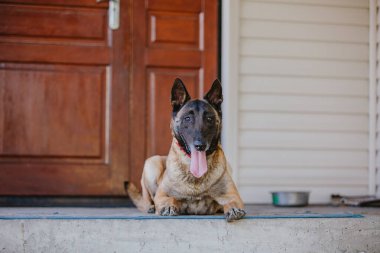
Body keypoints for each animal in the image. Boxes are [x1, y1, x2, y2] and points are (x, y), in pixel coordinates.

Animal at [127, 77, 246, 221]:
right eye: (187, 118)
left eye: (209, 118)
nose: (200, 145)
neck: (195, 177)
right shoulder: (162, 195)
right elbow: (170, 199)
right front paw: (168, 206)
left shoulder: (233, 196)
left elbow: (231, 202)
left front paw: (233, 209)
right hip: (152, 163)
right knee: (146, 200)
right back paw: (150, 207)